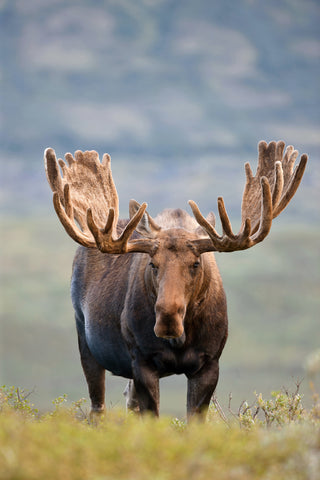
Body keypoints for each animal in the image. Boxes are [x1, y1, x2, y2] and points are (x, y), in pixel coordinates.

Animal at [44, 141, 308, 418]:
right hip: (85, 340)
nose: (167, 318)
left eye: (196, 263)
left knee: (129, 400)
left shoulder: (209, 363)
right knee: (98, 407)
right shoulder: (142, 360)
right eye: (153, 263)